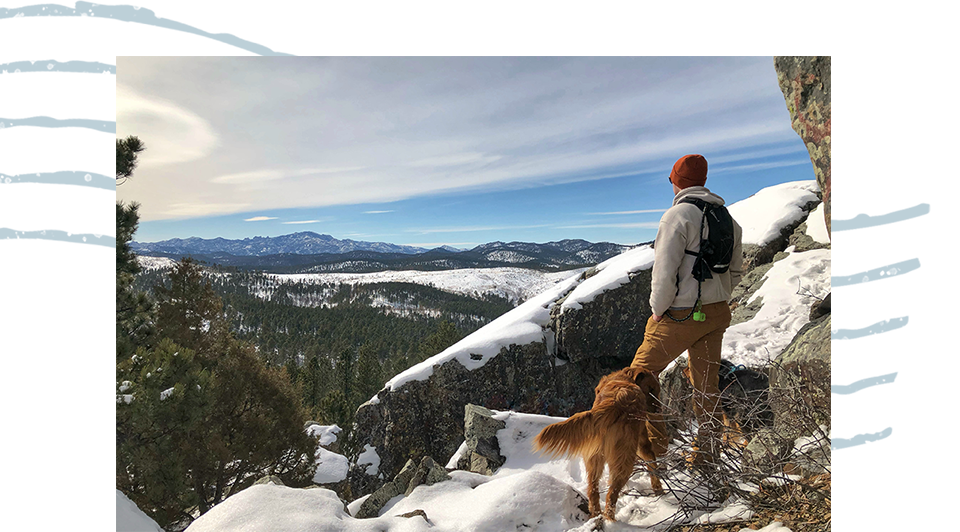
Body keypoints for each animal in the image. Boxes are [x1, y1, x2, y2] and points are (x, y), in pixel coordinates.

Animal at [532, 368, 660, 520]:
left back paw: (596, 515)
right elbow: (652, 463)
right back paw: (611, 520)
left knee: (593, 491)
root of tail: (614, 401)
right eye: (651, 389)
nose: (659, 410)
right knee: (611, 495)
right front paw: (659, 489)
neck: (624, 378)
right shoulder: (642, 441)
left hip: (594, 458)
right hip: (624, 458)